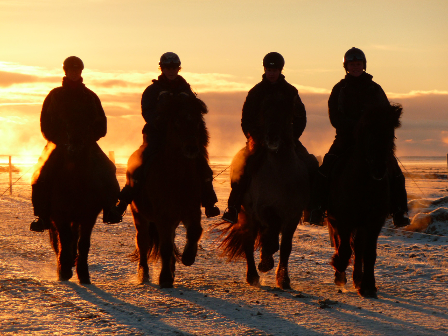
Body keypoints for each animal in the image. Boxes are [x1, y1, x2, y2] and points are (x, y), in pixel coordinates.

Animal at [41, 138, 118, 284]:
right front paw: (64, 270)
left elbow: (83, 243)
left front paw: (83, 274)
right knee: (59, 240)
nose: (73, 150)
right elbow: (63, 240)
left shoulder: (89, 216)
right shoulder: (59, 215)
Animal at [130, 92, 210, 288]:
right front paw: (165, 278)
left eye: (198, 122)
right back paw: (143, 274)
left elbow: (195, 231)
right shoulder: (164, 217)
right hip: (140, 216)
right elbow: (165, 247)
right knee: (143, 243)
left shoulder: (191, 211)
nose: (192, 148)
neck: (177, 178)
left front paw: (188, 257)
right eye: (177, 122)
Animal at [218, 94, 310, 288]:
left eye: (286, 113)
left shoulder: (293, 215)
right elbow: (271, 233)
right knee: (248, 242)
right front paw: (265, 262)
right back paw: (252, 276)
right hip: (245, 214)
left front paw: (283, 279)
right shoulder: (262, 210)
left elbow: (285, 247)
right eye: (264, 113)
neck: (279, 176)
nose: (272, 137)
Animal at [326, 101, 402, 296]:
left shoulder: (374, 221)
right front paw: (338, 265)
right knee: (342, 243)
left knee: (358, 247)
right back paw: (341, 276)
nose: (379, 170)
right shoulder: (343, 219)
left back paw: (357, 279)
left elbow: (369, 253)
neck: (364, 184)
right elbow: (344, 249)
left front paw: (368, 285)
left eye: (390, 134)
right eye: (369, 134)